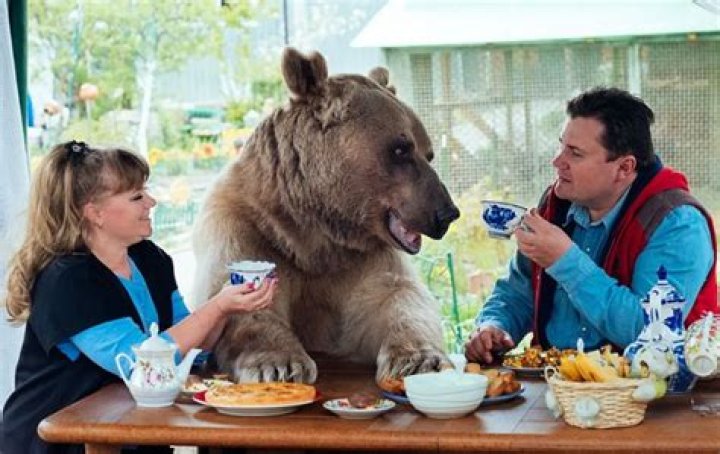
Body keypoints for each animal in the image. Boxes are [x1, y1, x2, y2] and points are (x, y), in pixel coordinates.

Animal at [192, 48, 460, 385]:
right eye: (401, 149)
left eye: (428, 153)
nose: (447, 213)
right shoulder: (247, 228)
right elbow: (239, 298)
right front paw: (279, 365)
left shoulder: (361, 259)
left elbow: (397, 297)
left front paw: (420, 359)